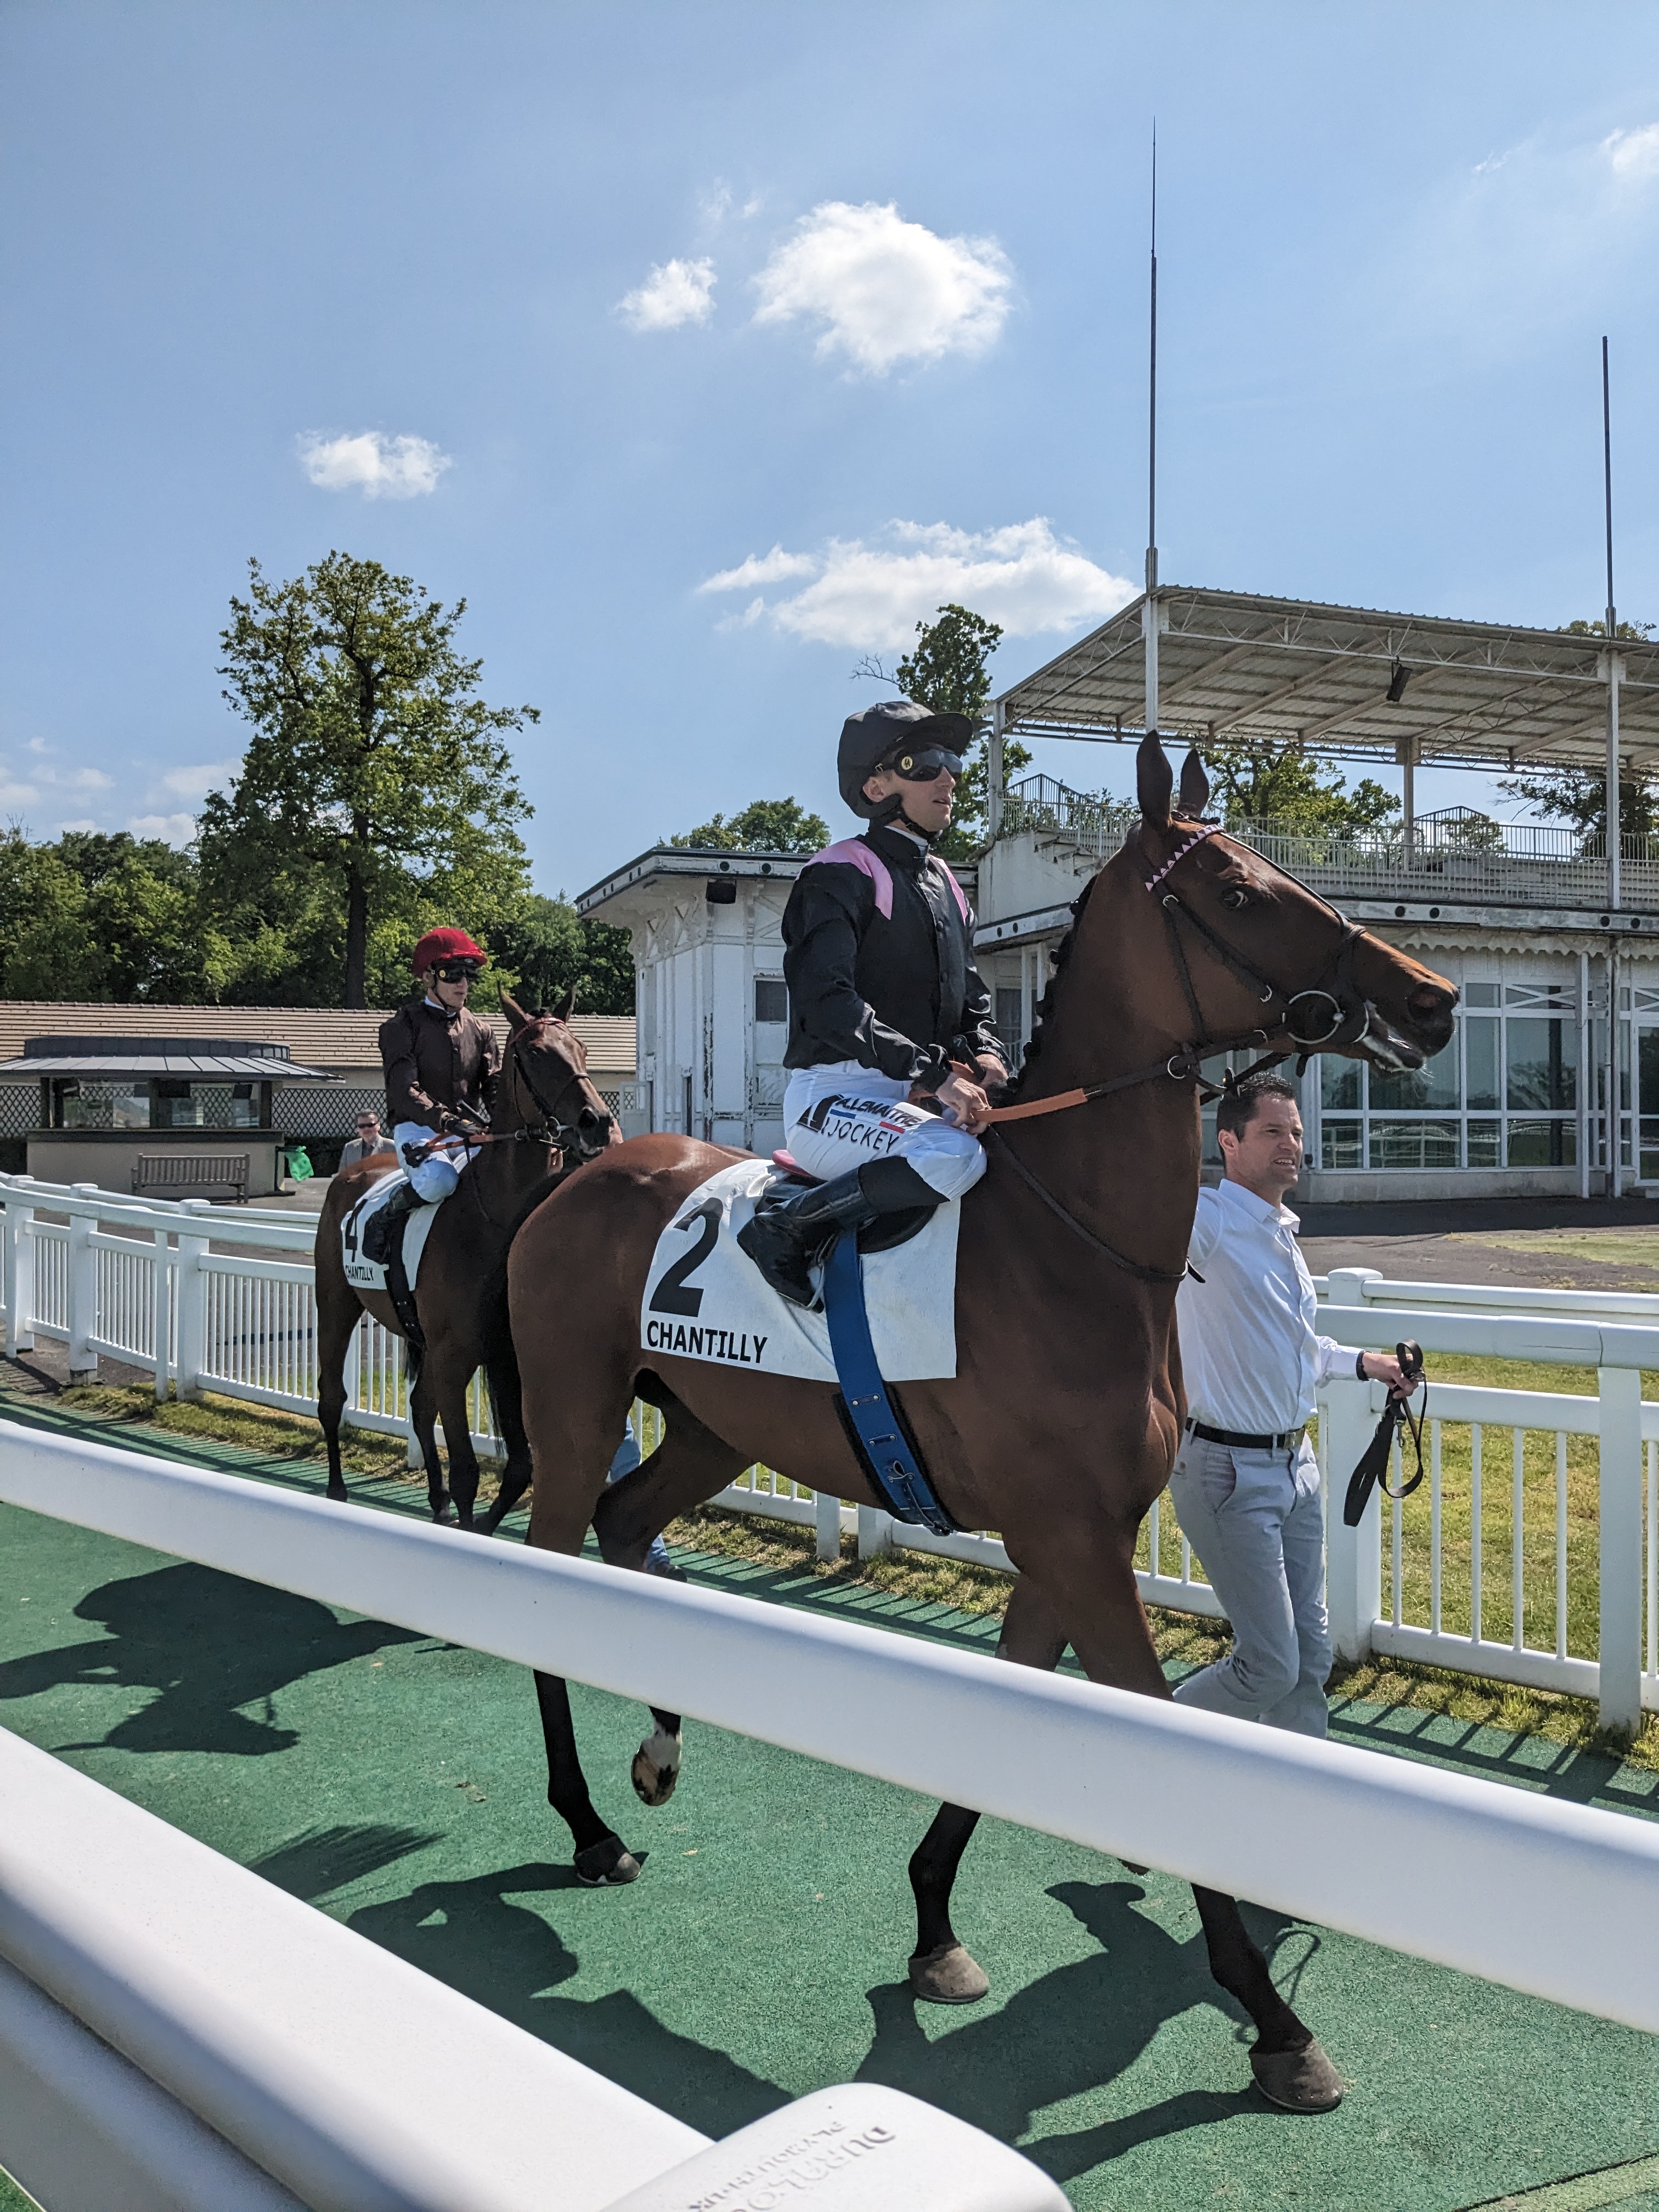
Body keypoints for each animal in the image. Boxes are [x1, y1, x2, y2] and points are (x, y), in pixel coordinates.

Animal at [314, 993, 618, 1530]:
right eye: (536, 1052)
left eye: (581, 1047)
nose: (597, 1122)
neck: (497, 1220)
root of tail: (350, 1173)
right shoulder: (456, 1355)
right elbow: (469, 1473)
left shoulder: (503, 1353)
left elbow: (520, 1468)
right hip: (336, 1305)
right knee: (332, 1398)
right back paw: (336, 1489)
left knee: (418, 1407)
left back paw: (435, 1503)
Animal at [490, 736, 1458, 2113]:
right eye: (1240, 890)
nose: (1432, 998)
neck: (1069, 1242)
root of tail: (583, 1174)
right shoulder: (1078, 1545)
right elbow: (1157, 1739)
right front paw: (1273, 2018)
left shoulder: (1066, 1542)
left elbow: (1008, 1708)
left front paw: (934, 1927)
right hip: (576, 1415)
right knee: (555, 1574)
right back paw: (587, 1828)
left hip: (710, 1424)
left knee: (629, 1533)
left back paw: (661, 1747)